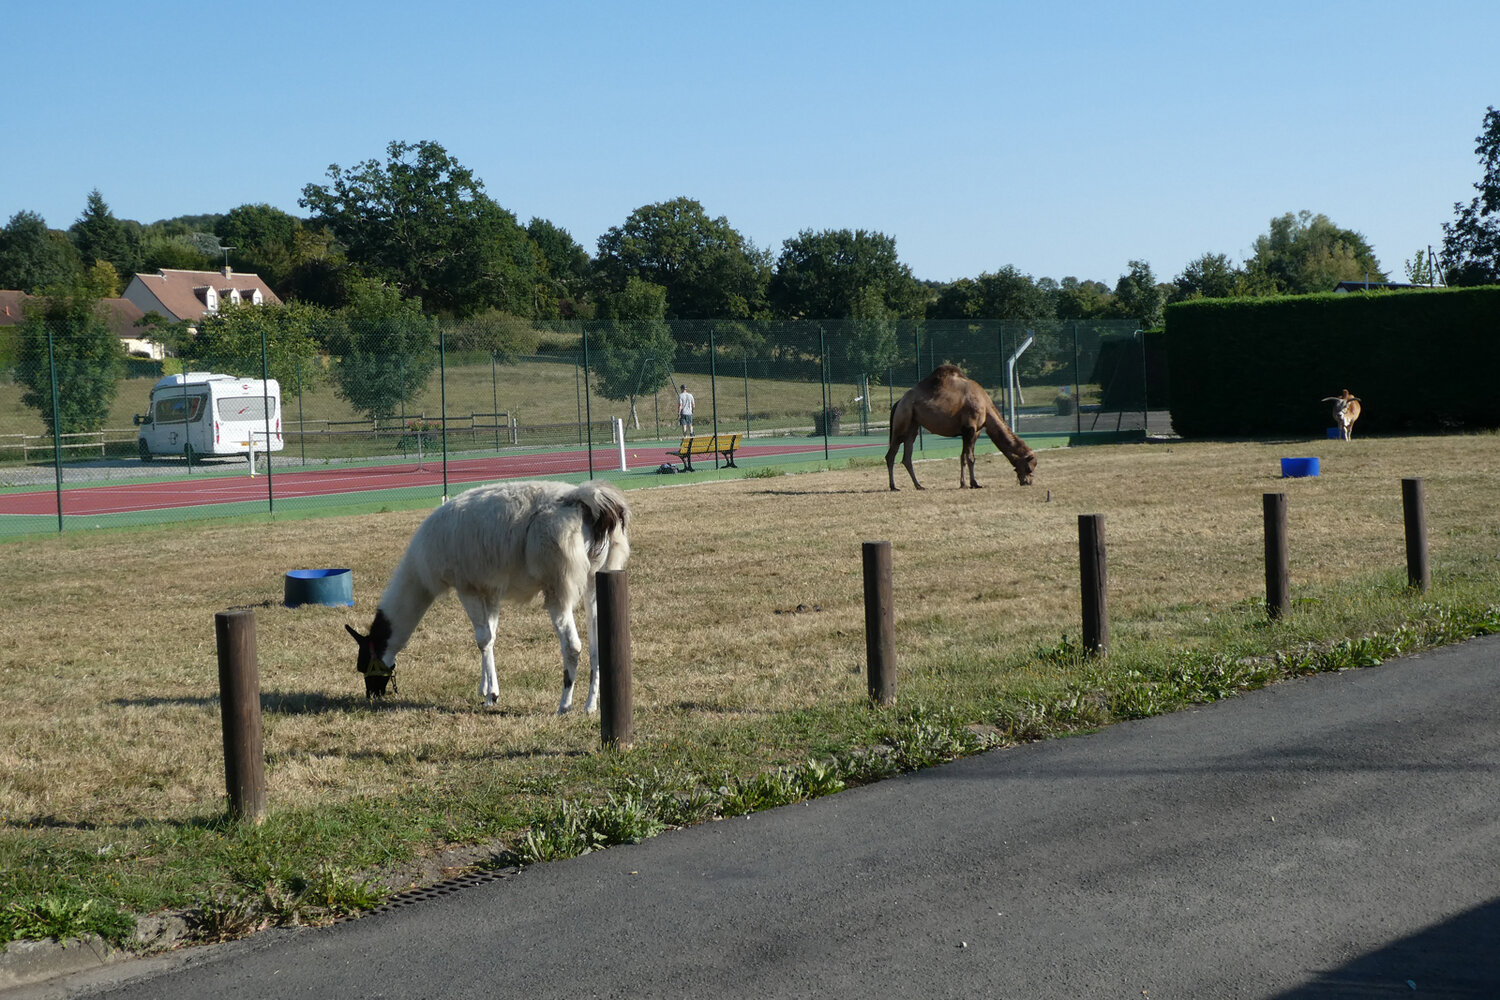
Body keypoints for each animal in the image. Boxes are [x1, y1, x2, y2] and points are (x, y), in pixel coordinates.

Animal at [882, 367, 1038, 491]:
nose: (1028, 482)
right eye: (1028, 467)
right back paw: (894, 486)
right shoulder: (969, 428)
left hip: (913, 425)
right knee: (891, 454)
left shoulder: (973, 432)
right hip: (902, 421)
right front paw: (975, 483)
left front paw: (963, 483)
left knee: (907, 456)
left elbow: (964, 457)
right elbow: (970, 458)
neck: (985, 407)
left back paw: (919, 485)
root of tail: (898, 402)